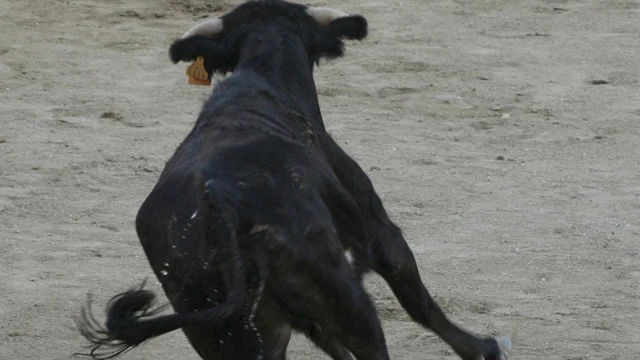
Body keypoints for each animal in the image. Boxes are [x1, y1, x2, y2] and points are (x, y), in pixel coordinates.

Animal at [76, 0, 510, 360]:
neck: (267, 79)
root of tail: (220, 205)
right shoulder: (375, 223)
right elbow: (411, 288)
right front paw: (485, 348)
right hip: (344, 297)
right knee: (370, 341)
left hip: (221, 328)